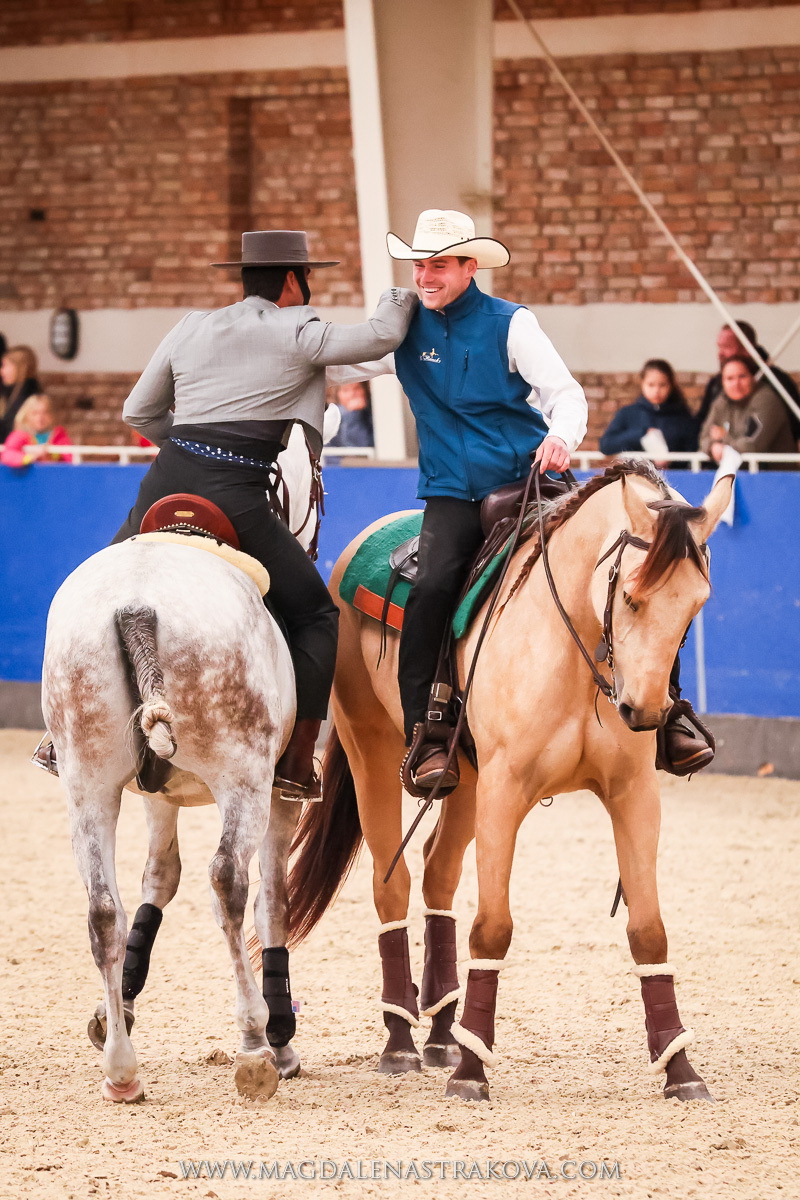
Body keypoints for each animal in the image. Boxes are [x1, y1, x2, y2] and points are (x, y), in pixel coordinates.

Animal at [284, 460, 734, 1104]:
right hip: (371, 747)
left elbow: (649, 932)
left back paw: (443, 1035)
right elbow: (492, 928)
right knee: (392, 884)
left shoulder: (633, 795)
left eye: (695, 604)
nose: (644, 712)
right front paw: (474, 1074)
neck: (573, 644)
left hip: (465, 779)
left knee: (439, 873)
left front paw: (680, 1069)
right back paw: (400, 1040)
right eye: (631, 596)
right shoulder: (506, 791)